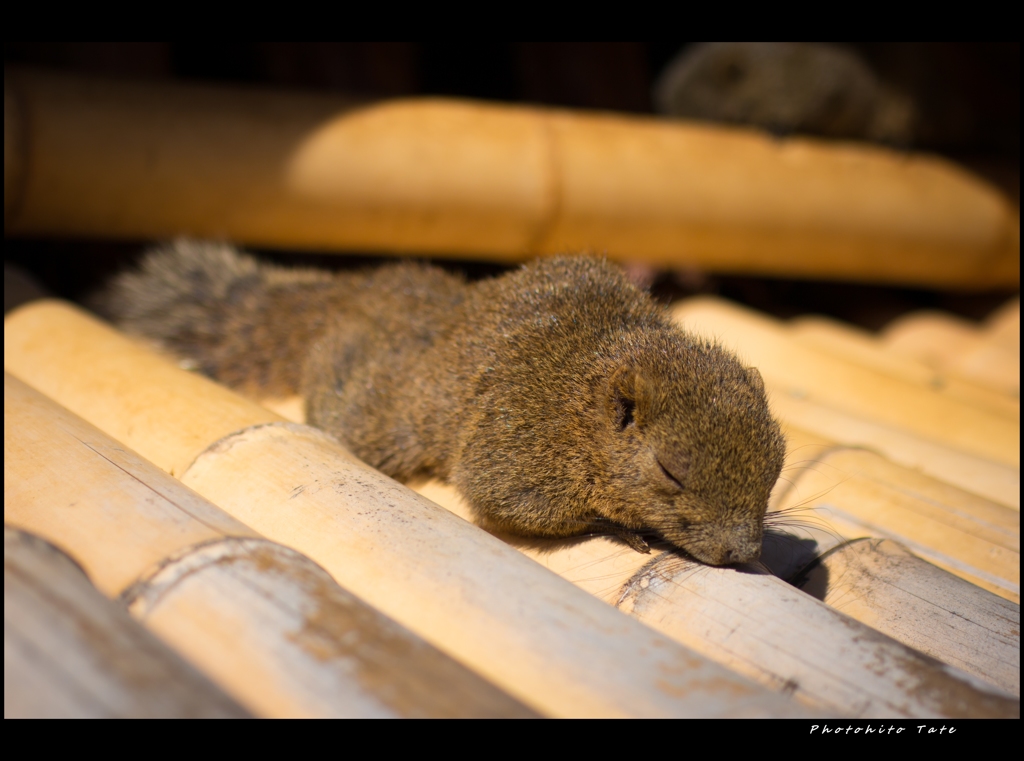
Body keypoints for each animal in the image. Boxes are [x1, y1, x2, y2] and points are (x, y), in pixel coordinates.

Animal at [94, 240, 782, 569]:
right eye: (670, 472)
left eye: (775, 467)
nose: (742, 553)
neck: (583, 407)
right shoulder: (519, 440)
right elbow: (514, 501)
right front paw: (623, 528)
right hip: (382, 409)